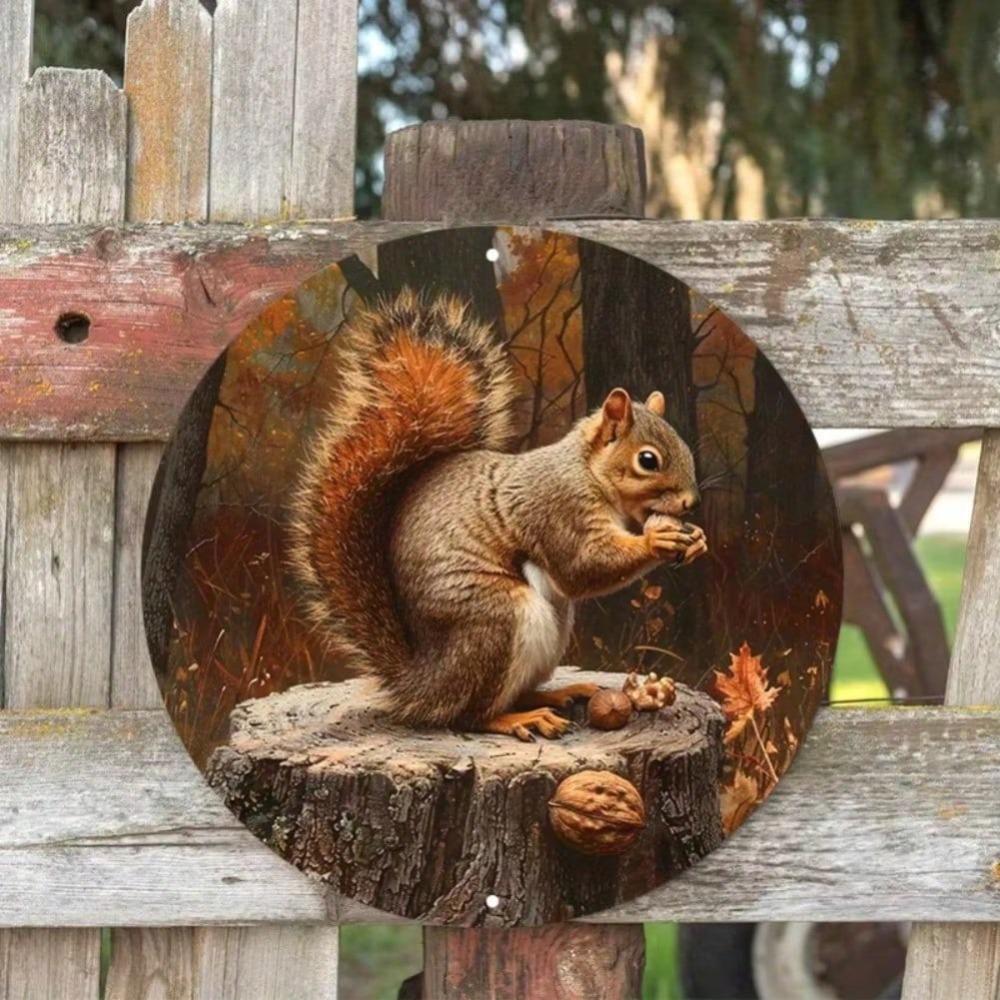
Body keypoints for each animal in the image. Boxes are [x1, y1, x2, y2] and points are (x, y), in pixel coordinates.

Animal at [288, 288, 708, 741]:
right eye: (648, 460)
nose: (691, 503)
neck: (587, 472)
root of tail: (423, 681)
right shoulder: (557, 507)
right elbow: (583, 566)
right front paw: (656, 539)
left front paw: (695, 540)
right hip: (497, 622)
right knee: (470, 714)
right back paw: (519, 718)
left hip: (550, 627)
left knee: (510, 693)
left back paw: (560, 693)